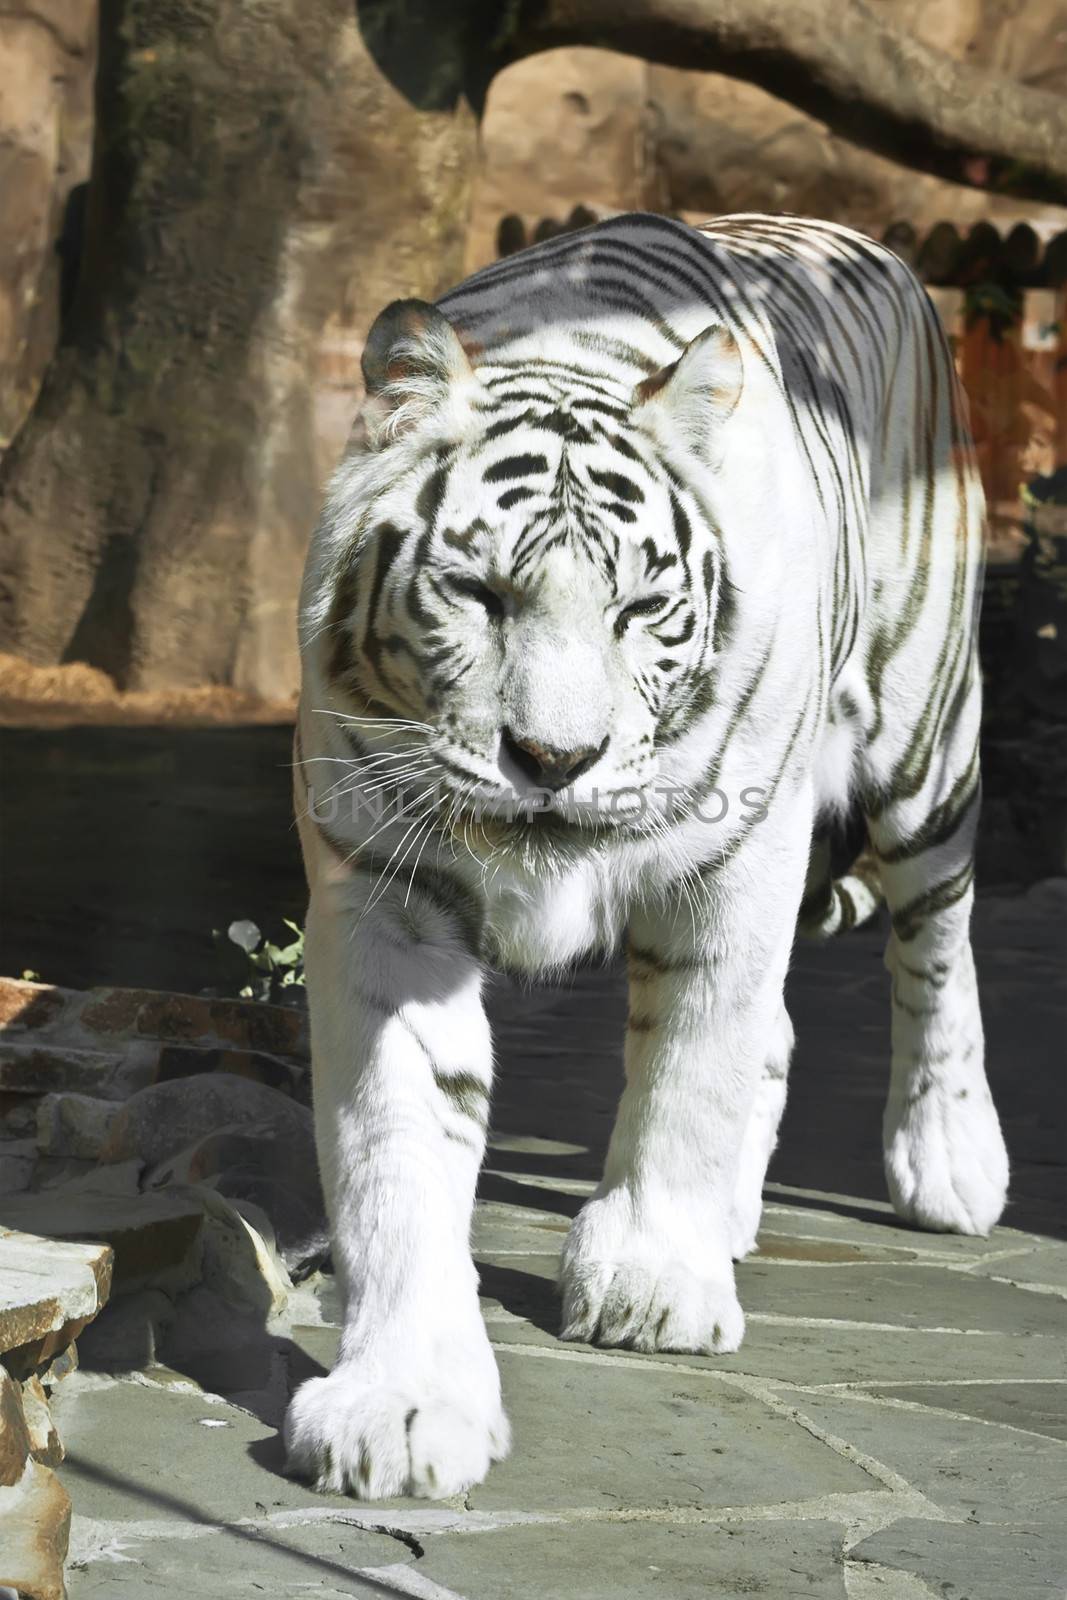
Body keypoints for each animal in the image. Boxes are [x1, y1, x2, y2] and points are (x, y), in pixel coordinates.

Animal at [281, 212, 1011, 1497]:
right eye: (474, 592)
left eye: (638, 610)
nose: (552, 759)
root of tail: (860, 238)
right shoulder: (384, 890)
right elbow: (396, 1137)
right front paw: (401, 1404)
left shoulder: (735, 865)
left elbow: (690, 1067)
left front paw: (655, 1281)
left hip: (923, 734)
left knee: (934, 939)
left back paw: (948, 1163)